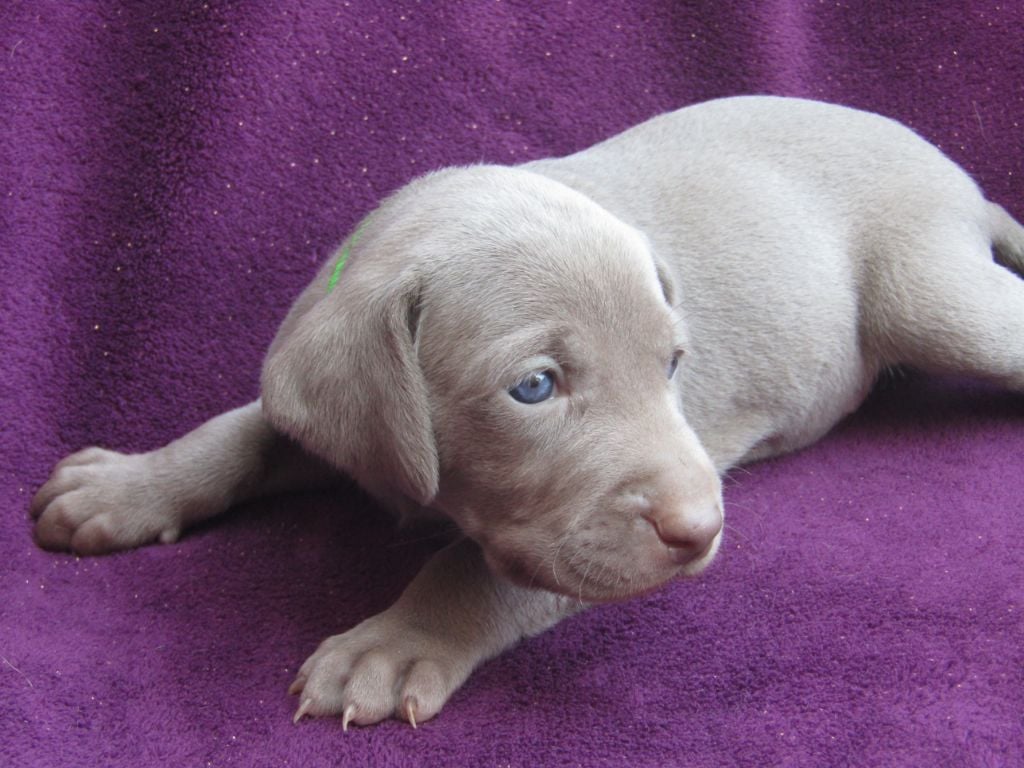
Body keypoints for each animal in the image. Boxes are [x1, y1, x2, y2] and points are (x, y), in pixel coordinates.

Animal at [30, 96, 1024, 729]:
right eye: (536, 387)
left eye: (672, 364)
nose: (702, 530)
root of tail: (956, 176)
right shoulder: (328, 412)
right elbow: (241, 430)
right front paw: (126, 487)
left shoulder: (572, 547)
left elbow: (479, 570)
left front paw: (392, 644)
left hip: (933, 295)